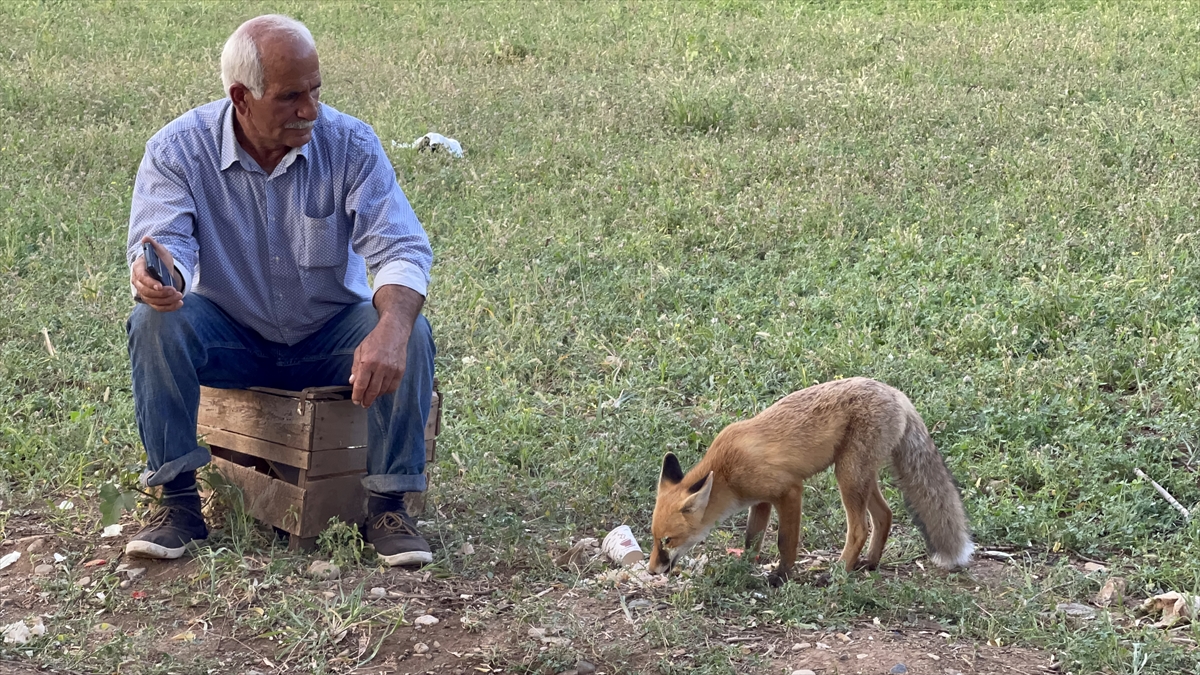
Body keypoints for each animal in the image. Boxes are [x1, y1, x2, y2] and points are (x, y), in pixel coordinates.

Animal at [652, 374, 969, 581]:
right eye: (654, 539)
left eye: (667, 540)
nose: (652, 570)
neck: (726, 472)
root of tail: (895, 393)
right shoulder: (761, 500)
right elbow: (752, 539)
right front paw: (745, 569)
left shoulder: (789, 490)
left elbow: (784, 541)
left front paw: (782, 576)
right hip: (861, 476)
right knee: (885, 515)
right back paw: (869, 563)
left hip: (847, 475)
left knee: (860, 529)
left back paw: (839, 571)